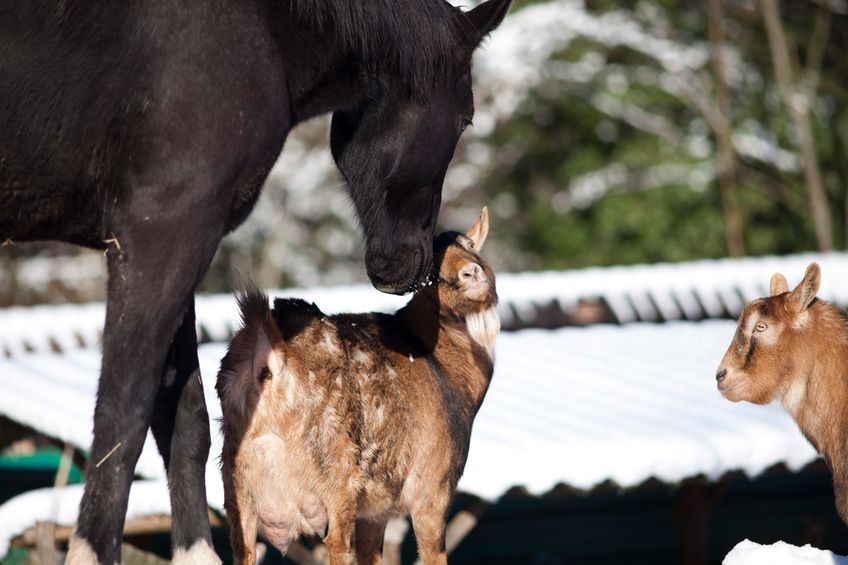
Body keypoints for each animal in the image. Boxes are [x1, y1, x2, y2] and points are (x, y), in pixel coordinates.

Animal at [216, 208, 499, 565]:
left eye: (471, 245)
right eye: (431, 270)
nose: (471, 272)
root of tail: (267, 362)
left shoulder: (375, 513)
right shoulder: (432, 487)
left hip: (236, 484)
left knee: (244, 548)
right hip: (336, 476)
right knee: (336, 542)